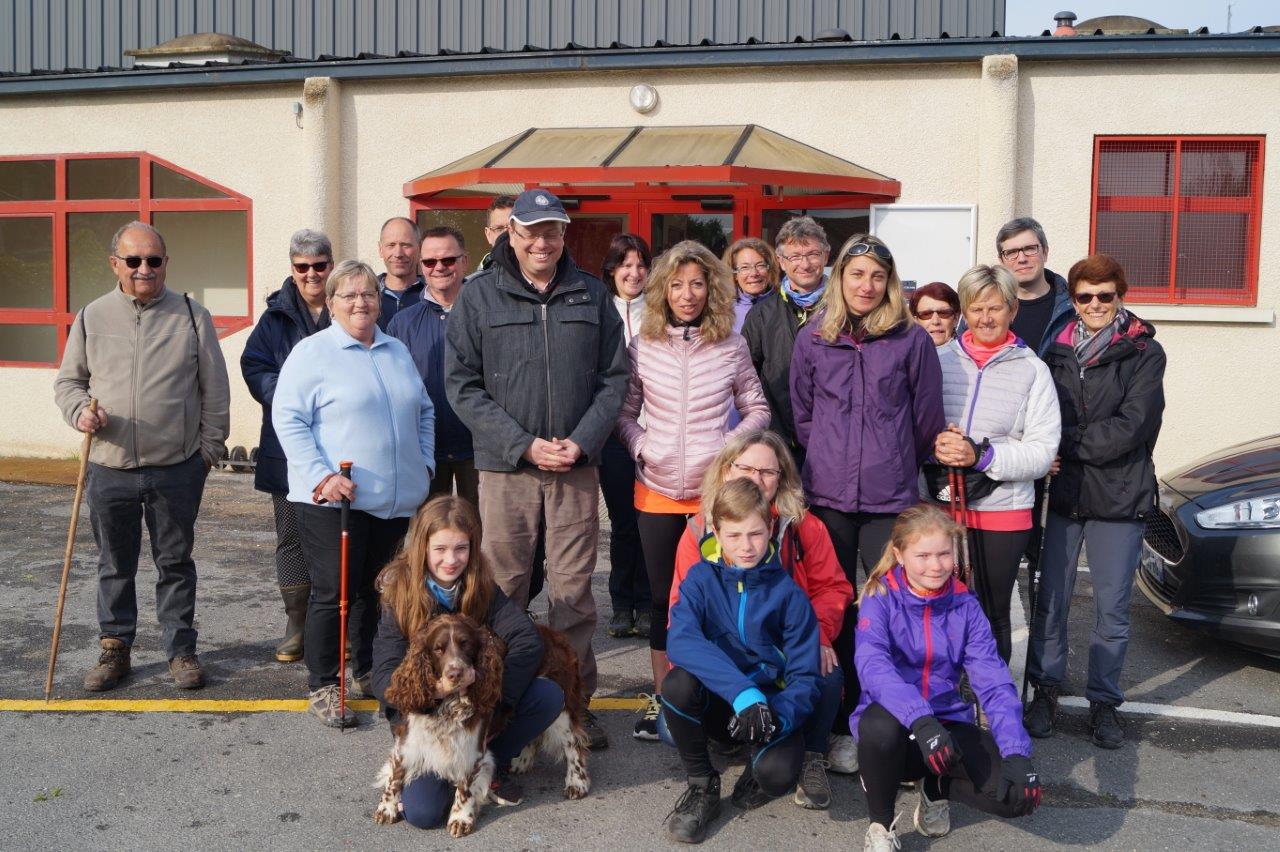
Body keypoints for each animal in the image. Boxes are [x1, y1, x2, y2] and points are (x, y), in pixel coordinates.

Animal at [371, 611, 588, 834]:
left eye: (465, 644)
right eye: (438, 649)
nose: (455, 673)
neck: (448, 705)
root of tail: (555, 634)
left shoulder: (471, 746)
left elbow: (466, 785)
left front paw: (460, 818)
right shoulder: (410, 739)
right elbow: (396, 775)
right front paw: (386, 808)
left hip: (562, 705)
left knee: (573, 744)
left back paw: (577, 782)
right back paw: (523, 761)